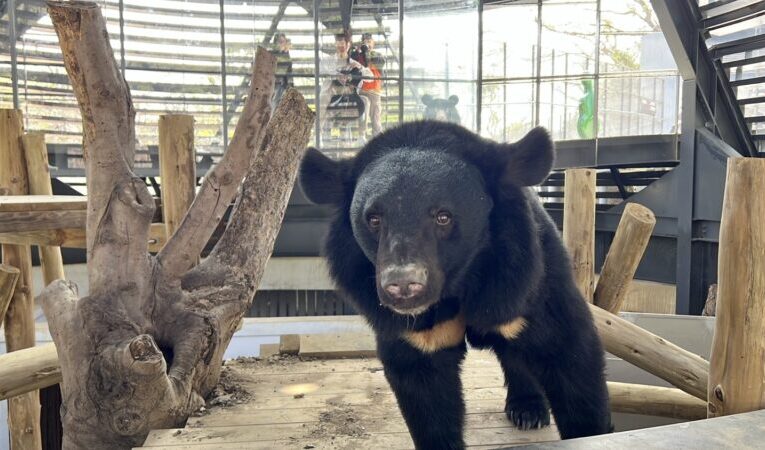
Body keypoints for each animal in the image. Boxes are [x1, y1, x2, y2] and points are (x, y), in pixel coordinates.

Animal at [298, 120, 611, 449]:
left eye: (443, 217)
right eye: (373, 219)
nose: (403, 286)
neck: (458, 283)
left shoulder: (524, 279)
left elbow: (569, 354)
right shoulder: (416, 332)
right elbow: (425, 389)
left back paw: (528, 410)